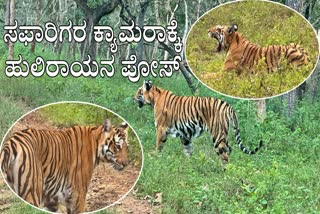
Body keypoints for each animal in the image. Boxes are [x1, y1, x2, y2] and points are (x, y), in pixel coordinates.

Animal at [1, 119, 129, 213]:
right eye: (118, 146)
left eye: (127, 147)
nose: (126, 164)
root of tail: (12, 143)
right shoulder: (78, 195)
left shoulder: (51, 199)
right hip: (32, 192)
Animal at [134, 81, 262, 165]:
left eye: (139, 91)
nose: (133, 98)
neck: (154, 99)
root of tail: (228, 105)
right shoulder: (184, 134)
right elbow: (188, 149)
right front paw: (188, 165)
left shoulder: (161, 128)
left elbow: (159, 145)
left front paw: (155, 157)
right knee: (229, 149)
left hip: (217, 134)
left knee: (224, 154)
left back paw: (224, 173)